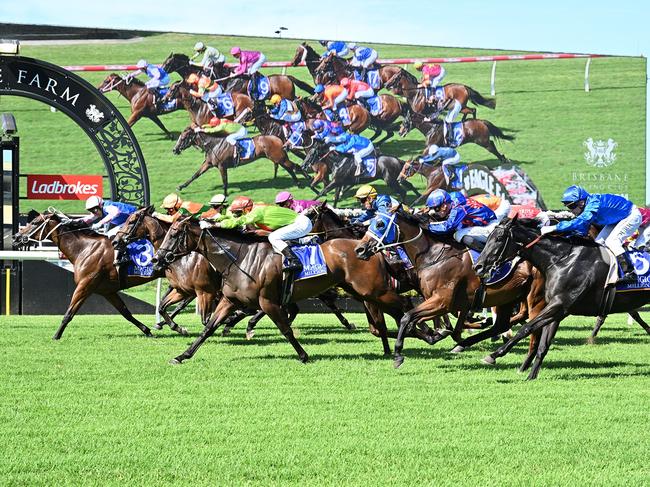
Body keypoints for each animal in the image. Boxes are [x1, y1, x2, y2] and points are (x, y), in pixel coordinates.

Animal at [151, 219, 412, 364]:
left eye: (174, 234)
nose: (157, 258)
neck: (239, 258)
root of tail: (371, 248)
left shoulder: (268, 301)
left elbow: (285, 329)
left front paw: (304, 356)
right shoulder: (230, 300)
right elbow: (208, 328)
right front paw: (182, 355)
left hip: (375, 290)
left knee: (404, 308)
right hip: (364, 292)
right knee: (385, 316)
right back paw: (393, 346)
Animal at [172, 127, 304, 195]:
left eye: (183, 138)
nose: (174, 150)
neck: (213, 145)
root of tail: (278, 138)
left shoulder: (221, 166)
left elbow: (224, 180)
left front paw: (224, 195)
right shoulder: (208, 163)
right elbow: (195, 175)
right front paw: (180, 187)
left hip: (279, 157)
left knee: (295, 166)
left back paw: (301, 182)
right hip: (279, 158)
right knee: (291, 168)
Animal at [470, 218, 648, 382]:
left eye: (499, 238)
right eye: (488, 237)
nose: (478, 266)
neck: (562, 261)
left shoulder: (560, 305)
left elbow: (526, 328)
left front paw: (493, 355)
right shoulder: (556, 309)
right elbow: (543, 345)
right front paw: (531, 376)